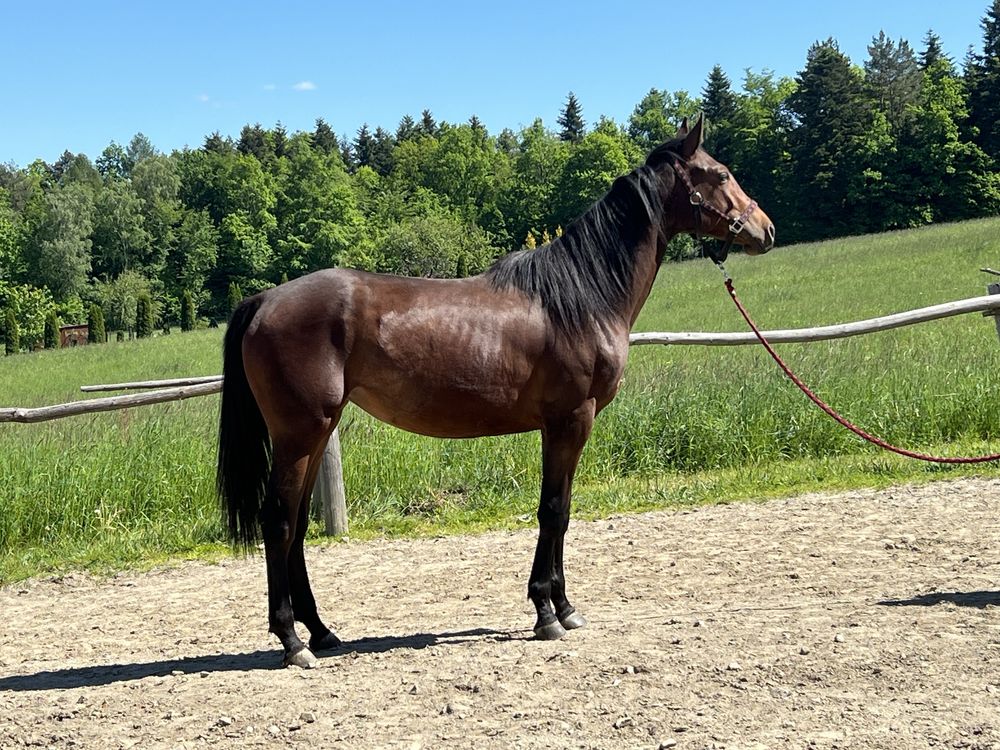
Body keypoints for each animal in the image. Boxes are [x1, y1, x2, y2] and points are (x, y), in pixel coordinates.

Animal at [217, 117, 772, 668]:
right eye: (720, 174)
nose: (765, 229)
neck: (581, 296)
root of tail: (264, 300)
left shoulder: (563, 426)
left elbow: (562, 510)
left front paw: (565, 607)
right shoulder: (572, 419)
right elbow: (552, 510)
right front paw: (547, 613)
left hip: (316, 434)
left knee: (297, 528)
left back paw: (322, 632)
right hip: (299, 435)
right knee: (278, 522)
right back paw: (292, 640)